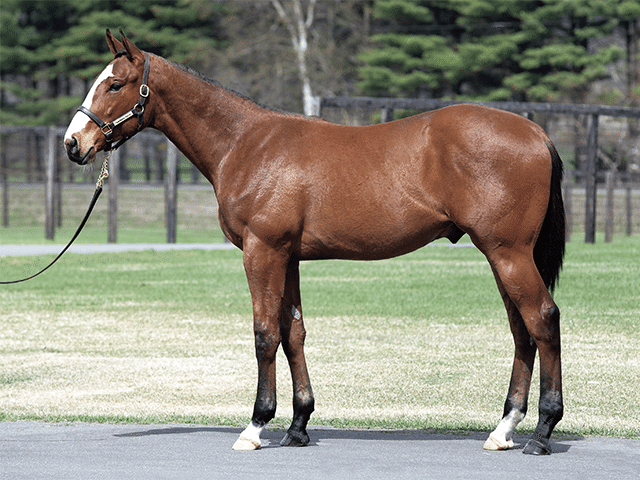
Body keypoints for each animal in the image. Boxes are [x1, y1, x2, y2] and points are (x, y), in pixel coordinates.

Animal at [65, 30, 566, 455]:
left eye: (115, 85)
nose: (73, 143)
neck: (245, 144)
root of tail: (537, 133)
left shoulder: (262, 251)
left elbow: (265, 333)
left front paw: (256, 425)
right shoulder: (287, 257)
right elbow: (294, 333)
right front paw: (298, 425)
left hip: (508, 253)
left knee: (542, 319)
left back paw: (542, 431)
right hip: (502, 257)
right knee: (521, 330)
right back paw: (503, 429)